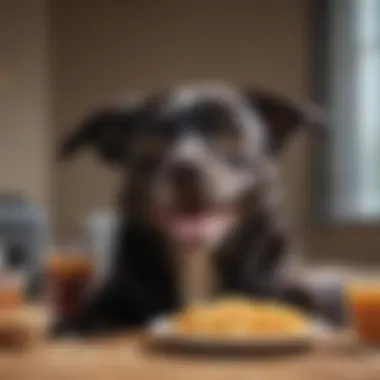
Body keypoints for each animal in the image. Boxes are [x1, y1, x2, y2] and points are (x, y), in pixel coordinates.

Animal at [56, 83, 332, 336]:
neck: (196, 261)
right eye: (152, 140)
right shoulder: (113, 295)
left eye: (229, 134)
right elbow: (83, 318)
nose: (185, 169)